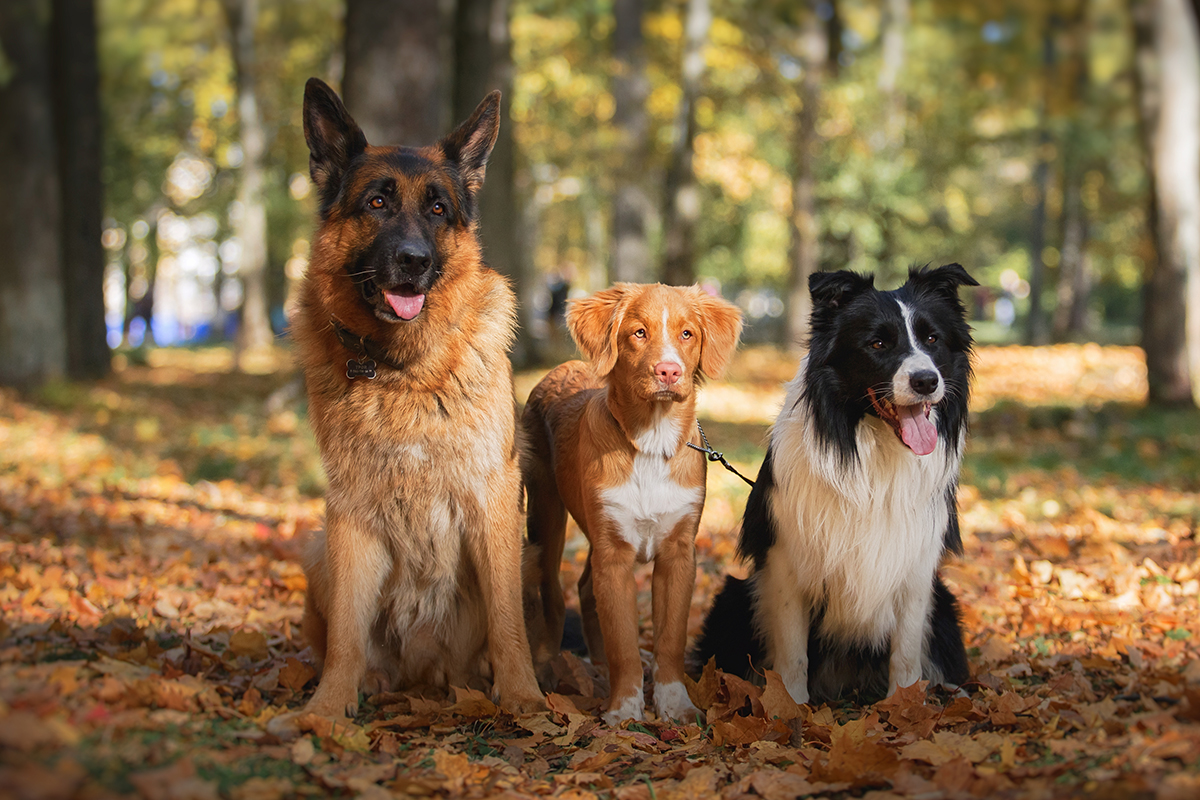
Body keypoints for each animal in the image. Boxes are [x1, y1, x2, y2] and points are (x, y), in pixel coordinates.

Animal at [283, 77, 542, 724]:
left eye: (437, 209)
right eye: (377, 203)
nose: (414, 261)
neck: (402, 370)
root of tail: (423, 675)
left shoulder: (493, 500)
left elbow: (508, 621)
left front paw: (523, 696)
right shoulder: (349, 512)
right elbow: (346, 634)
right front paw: (328, 710)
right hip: (319, 551)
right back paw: (372, 681)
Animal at [523, 283, 739, 724]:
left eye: (687, 334)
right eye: (639, 333)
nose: (669, 371)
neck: (652, 442)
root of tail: (560, 368)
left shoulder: (678, 553)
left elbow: (670, 638)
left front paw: (674, 703)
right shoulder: (614, 554)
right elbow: (622, 640)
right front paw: (624, 708)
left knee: (584, 589)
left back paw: (597, 667)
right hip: (546, 516)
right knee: (553, 593)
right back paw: (550, 671)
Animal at [696, 266, 974, 705]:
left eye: (932, 339)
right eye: (878, 343)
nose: (927, 381)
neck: (873, 451)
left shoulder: (916, 567)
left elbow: (906, 653)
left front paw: (905, 707)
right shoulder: (785, 562)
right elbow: (793, 654)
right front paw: (791, 708)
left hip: (943, 602)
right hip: (733, 597)